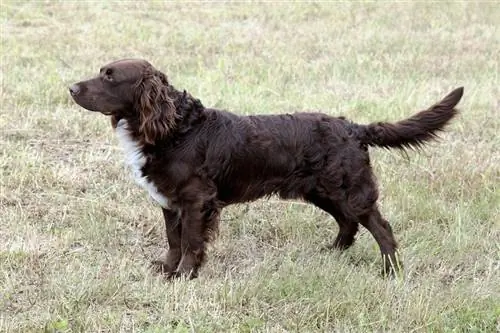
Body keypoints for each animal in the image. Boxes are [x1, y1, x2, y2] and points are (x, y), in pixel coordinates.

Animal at [68, 59, 462, 278]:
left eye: (110, 77)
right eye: (101, 72)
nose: (70, 87)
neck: (176, 128)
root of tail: (351, 127)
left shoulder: (197, 201)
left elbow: (192, 242)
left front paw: (184, 276)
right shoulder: (170, 202)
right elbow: (173, 240)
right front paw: (167, 268)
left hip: (349, 190)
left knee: (381, 228)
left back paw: (390, 272)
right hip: (322, 191)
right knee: (348, 223)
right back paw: (332, 252)